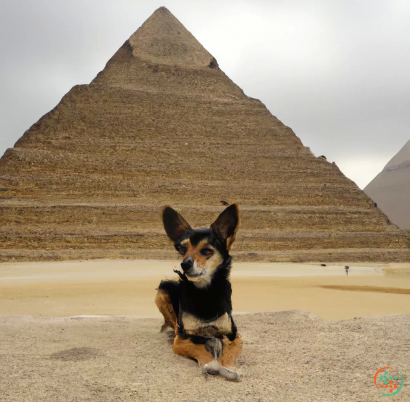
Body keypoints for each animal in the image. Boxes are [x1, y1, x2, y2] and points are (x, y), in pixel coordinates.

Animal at [155, 204, 242, 380]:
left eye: (207, 251)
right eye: (182, 248)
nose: (185, 264)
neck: (205, 293)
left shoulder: (235, 335)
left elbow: (229, 352)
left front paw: (229, 368)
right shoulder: (182, 340)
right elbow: (199, 348)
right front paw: (211, 364)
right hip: (163, 289)